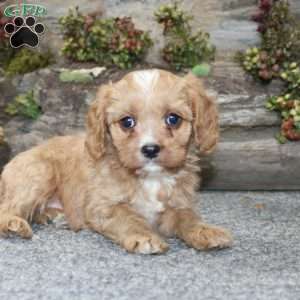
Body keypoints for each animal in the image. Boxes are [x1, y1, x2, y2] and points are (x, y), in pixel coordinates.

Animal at [0, 69, 232, 253]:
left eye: (173, 119)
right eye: (127, 122)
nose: (150, 149)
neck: (151, 178)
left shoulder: (178, 203)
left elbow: (188, 217)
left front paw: (205, 231)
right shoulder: (103, 206)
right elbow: (128, 217)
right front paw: (144, 237)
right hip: (39, 175)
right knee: (7, 207)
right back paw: (14, 223)